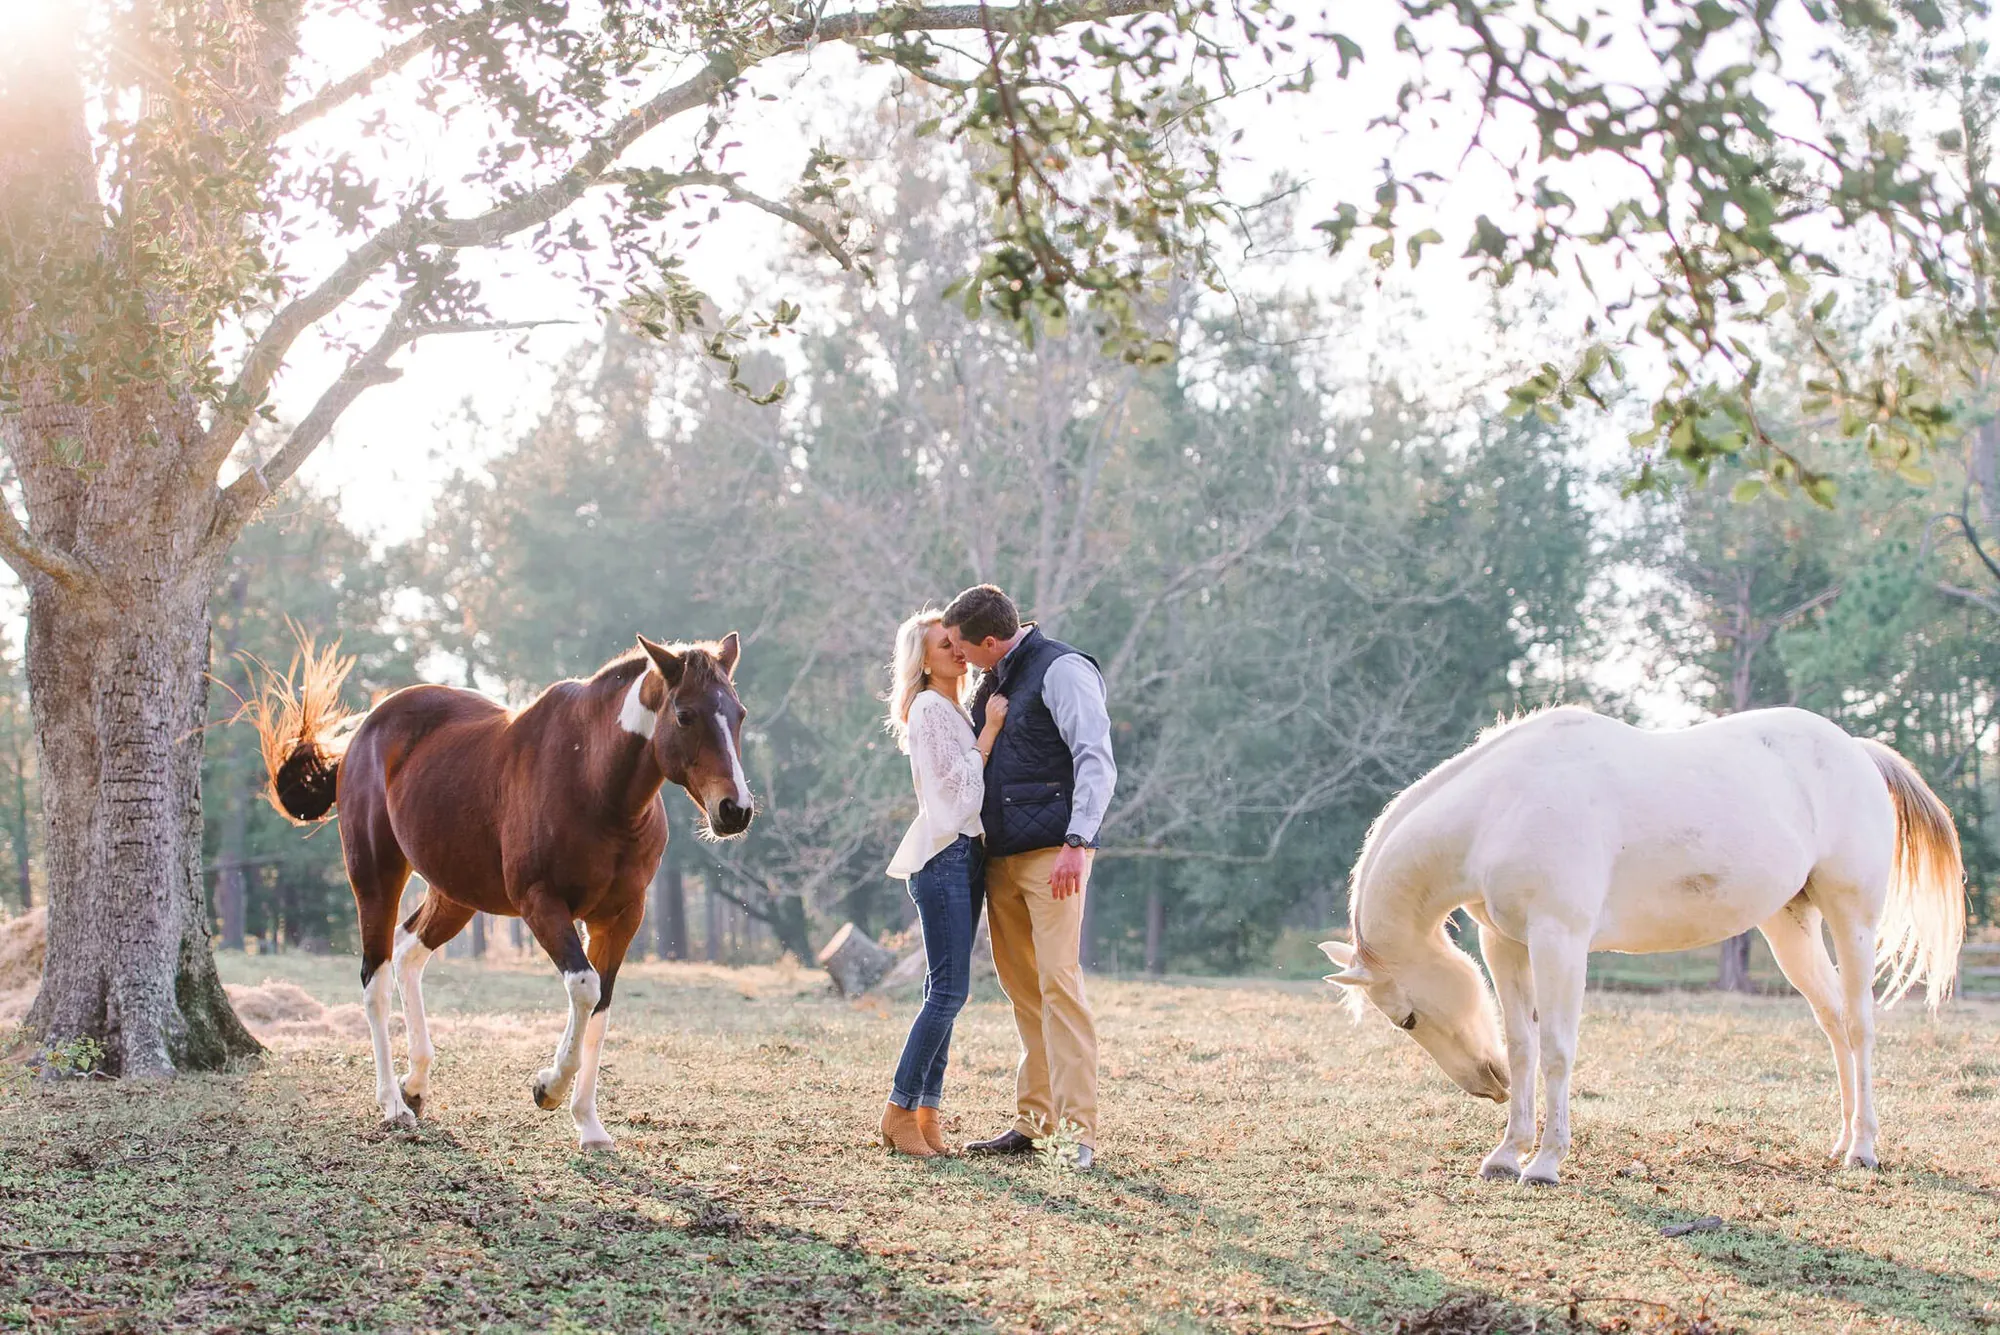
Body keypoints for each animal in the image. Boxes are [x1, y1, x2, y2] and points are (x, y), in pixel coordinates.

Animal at [246, 632, 754, 1149]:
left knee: (409, 953)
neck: (593, 782)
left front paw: (589, 1124)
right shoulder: (541, 904)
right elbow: (584, 987)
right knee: (376, 978)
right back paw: (392, 1103)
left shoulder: (621, 917)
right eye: (685, 715)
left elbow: (601, 1007)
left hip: (455, 893)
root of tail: (362, 734)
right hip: (375, 878)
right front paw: (548, 1088)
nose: (735, 809)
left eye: (739, 714)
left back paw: (416, 1084)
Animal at [1319, 705, 1964, 1186]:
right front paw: (1506, 1154)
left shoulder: (1559, 939)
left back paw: (1863, 1150)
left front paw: (1545, 1163)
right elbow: (1524, 1045)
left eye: (1407, 1018)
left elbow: (1556, 1050)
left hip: (1851, 917)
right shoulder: (1504, 943)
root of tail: (1857, 751)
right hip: (1790, 926)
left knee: (1858, 1025)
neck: (1499, 806)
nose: (1487, 1085)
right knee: (1833, 1022)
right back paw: (1841, 1140)